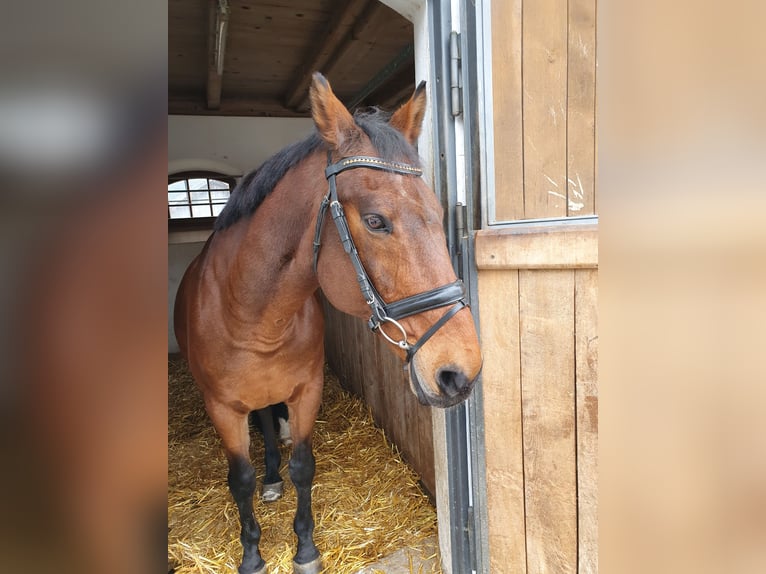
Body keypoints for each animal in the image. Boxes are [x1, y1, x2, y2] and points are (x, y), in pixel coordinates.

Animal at [177, 72, 484, 574]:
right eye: (376, 221)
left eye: (440, 216)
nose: (461, 372)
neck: (253, 317)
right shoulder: (222, 407)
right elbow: (239, 479)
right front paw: (252, 554)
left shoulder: (307, 391)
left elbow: (303, 465)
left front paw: (305, 548)